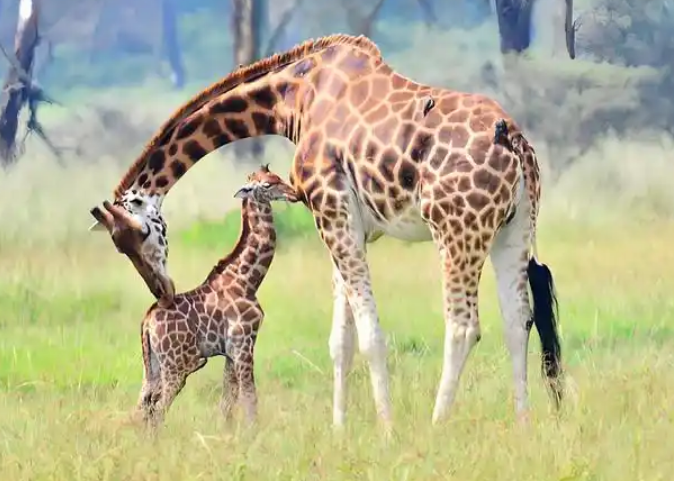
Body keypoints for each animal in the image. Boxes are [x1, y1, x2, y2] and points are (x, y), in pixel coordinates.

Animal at [134, 164, 296, 428]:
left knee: (142, 406)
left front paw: (228, 433)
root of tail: (147, 322)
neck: (247, 280)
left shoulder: (230, 350)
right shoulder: (243, 342)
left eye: (278, 177)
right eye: (267, 185)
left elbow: (227, 401)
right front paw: (252, 432)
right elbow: (249, 396)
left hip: (153, 365)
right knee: (157, 409)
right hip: (177, 366)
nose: (294, 194)